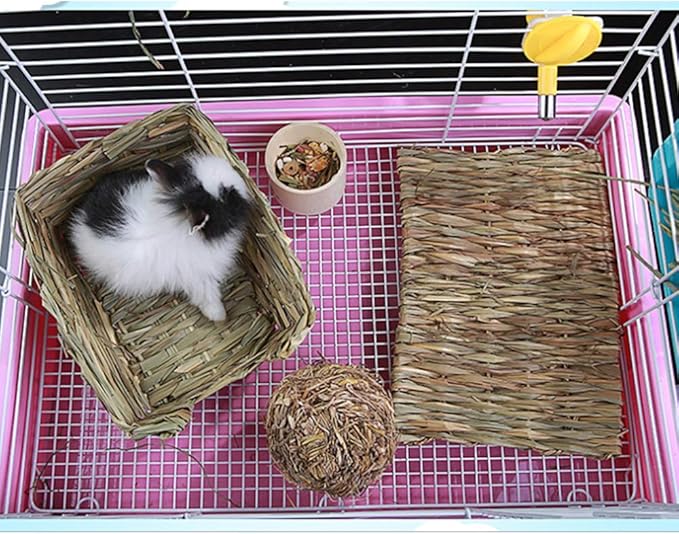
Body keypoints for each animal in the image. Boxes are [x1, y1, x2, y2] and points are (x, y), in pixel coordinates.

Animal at [68, 153, 252, 322]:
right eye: (226, 195)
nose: (238, 176)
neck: (177, 219)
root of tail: (80, 219)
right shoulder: (199, 277)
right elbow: (208, 297)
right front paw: (220, 316)